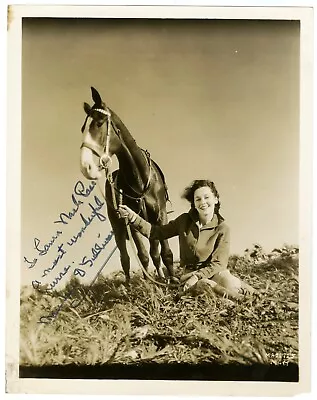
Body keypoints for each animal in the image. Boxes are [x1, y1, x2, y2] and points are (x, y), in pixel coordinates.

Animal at [79, 87, 175, 284]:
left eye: (99, 123)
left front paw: (173, 280)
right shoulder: (130, 220)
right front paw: (149, 286)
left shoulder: (160, 215)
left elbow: (164, 253)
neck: (140, 179)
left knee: (154, 253)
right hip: (118, 226)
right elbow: (143, 256)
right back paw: (130, 284)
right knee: (126, 257)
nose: (86, 166)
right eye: (83, 128)